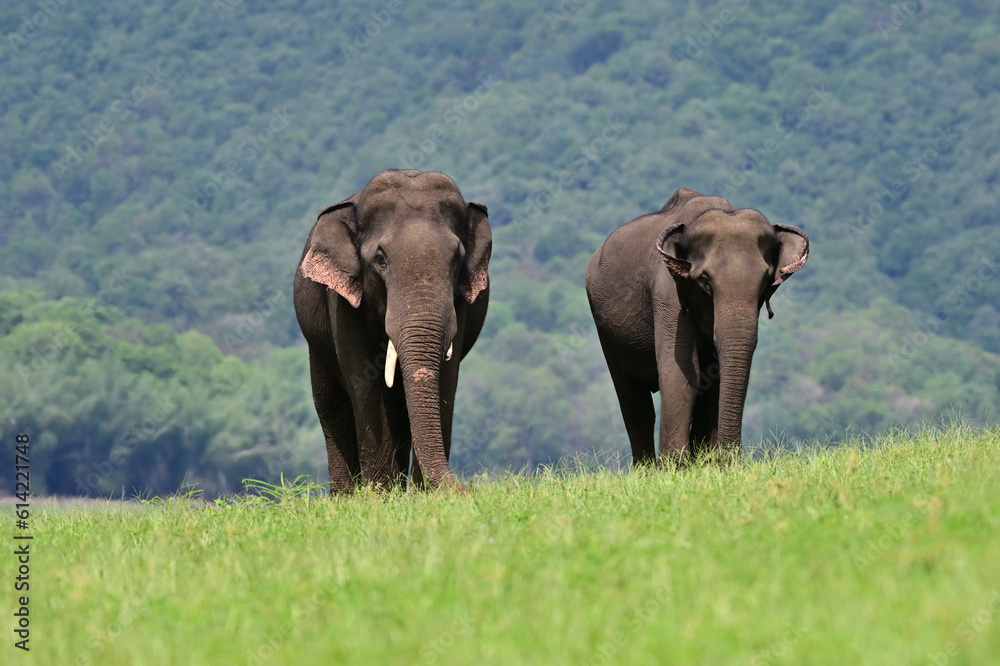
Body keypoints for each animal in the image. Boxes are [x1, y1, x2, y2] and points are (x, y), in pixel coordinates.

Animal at [293, 169, 491, 492]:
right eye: (380, 259)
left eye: (457, 258)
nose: (467, 488)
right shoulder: (344, 301)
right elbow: (365, 383)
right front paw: (380, 495)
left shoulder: (459, 301)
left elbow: (446, 380)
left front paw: (421, 495)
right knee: (331, 406)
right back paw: (346, 496)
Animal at [585, 187, 809, 465]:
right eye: (705, 281)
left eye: (765, 281)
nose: (733, 461)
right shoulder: (669, 292)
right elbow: (681, 369)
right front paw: (674, 469)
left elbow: (712, 375)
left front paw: (704, 466)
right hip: (603, 327)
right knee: (634, 402)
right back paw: (646, 470)